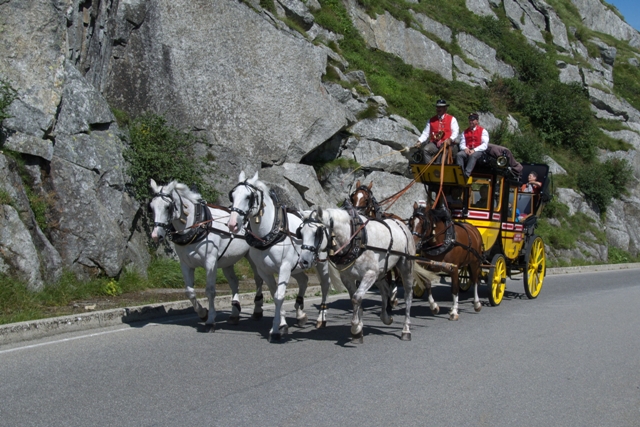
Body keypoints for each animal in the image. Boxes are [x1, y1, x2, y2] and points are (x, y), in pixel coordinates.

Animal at [150, 179, 264, 332]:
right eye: (151, 207)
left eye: (168, 207)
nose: (156, 235)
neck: (196, 225)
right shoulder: (185, 264)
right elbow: (189, 292)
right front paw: (203, 313)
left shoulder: (210, 262)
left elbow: (210, 291)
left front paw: (210, 320)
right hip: (227, 260)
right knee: (234, 282)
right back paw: (234, 314)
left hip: (252, 257)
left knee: (258, 280)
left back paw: (257, 310)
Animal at [228, 171, 332, 342]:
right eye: (232, 195)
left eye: (249, 197)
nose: (232, 224)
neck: (268, 233)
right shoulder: (264, 271)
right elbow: (274, 294)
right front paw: (283, 324)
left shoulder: (284, 268)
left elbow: (280, 296)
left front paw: (276, 329)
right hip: (298, 265)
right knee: (303, 280)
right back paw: (300, 314)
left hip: (320, 263)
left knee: (325, 285)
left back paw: (321, 319)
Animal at [298, 206, 416, 342]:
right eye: (300, 232)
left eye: (317, 233)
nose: (303, 261)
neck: (355, 239)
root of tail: (402, 224)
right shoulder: (347, 278)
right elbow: (354, 298)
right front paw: (359, 328)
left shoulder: (370, 274)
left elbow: (356, 298)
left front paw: (355, 327)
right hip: (380, 273)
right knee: (385, 290)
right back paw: (386, 317)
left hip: (406, 267)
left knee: (408, 296)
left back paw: (406, 329)